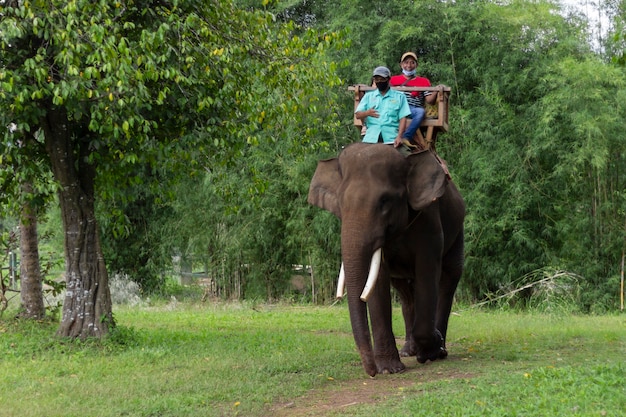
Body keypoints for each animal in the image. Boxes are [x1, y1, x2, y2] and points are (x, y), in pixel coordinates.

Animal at [308, 141, 464, 376]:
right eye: (340, 203)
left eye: (385, 201)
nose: (370, 371)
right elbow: (378, 280)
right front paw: (389, 370)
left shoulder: (429, 221)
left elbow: (427, 271)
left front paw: (430, 351)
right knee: (405, 292)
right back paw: (410, 350)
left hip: (458, 229)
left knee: (448, 279)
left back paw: (440, 350)